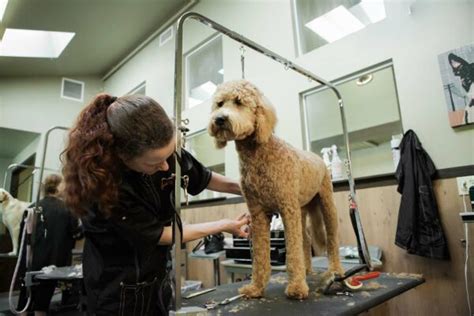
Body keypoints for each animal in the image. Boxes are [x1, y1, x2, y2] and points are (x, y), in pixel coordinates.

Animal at [206, 80, 340, 300]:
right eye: (219, 103)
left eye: (239, 101)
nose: (219, 119)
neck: (258, 153)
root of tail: (317, 157)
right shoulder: (259, 214)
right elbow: (260, 256)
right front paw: (256, 287)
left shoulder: (287, 209)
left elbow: (292, 253)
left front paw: (296, 288)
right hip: (301, 210)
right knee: (305, 240)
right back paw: (307, 271)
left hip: (326, 203)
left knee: (331, 240)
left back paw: (336, 271)